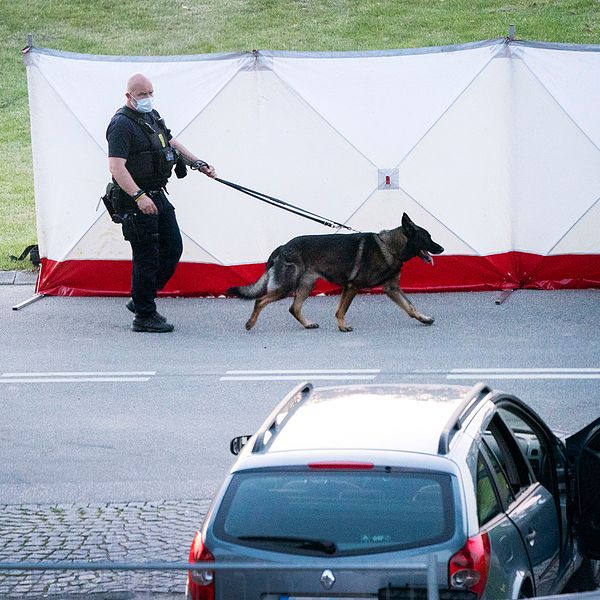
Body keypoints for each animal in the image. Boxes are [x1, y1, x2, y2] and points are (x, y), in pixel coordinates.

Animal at [230, 212, 446, 332]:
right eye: (427, 238)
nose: (442, 248)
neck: (390, 247)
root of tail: (282, 247)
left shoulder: (391, 289)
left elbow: (410, 308)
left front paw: (424, 318)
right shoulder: (352, 287)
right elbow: (341, 310)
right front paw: (342, 327)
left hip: (306, 285)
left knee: (294, 308)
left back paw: (308, 324)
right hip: (286, 286)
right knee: (260, 300)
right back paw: (250, 324)